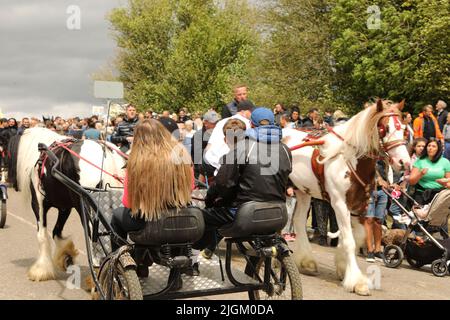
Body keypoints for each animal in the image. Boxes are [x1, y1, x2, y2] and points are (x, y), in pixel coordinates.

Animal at [8, 127, 125, 280]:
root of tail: (104, 150)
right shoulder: (65, 208)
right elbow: (56, 232)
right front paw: (66, 256)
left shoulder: (38, 204)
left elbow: (42, 235)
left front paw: (41, 270)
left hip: (86, 207)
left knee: (95, 242)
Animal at [286, 99, 410, 296]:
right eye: (385, 128)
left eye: (404, 128)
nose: (404, 163)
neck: (347, 158)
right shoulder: (338, 204)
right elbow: (349, 241)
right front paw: (357, 282)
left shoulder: (360, 206)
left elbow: (357, 236)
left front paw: (343, 267)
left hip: (303, 191)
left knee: (298, 220)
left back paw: (307, 262)